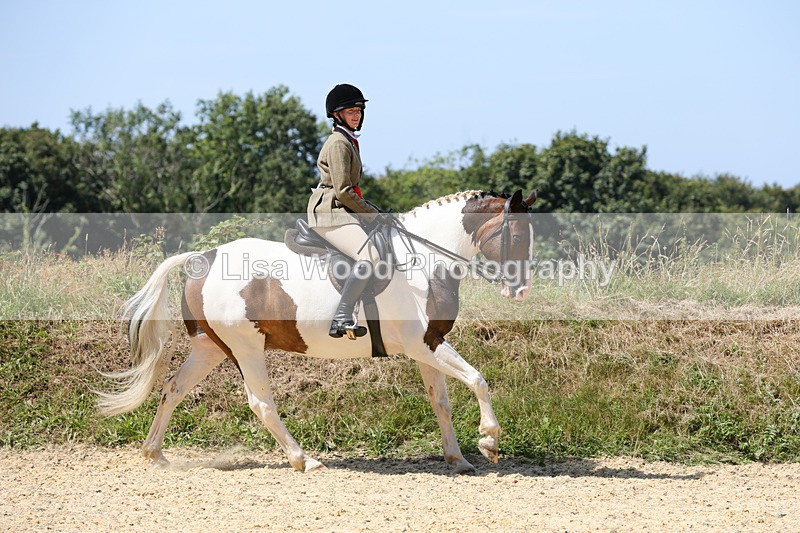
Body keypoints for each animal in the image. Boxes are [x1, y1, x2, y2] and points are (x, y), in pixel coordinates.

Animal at [98, 189, 537, 474]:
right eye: (516, 236)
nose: (521, 291)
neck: (426, 259)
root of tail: (202, 258)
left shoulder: (426, 347)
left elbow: (440, 402)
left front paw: (457, 458)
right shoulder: (424, 343)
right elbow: (478, 379)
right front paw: (489, 441)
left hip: (211, 347)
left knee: (173, 388)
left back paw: (154, 453)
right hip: (245, 347)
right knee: (261, 404)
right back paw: (304, 459)